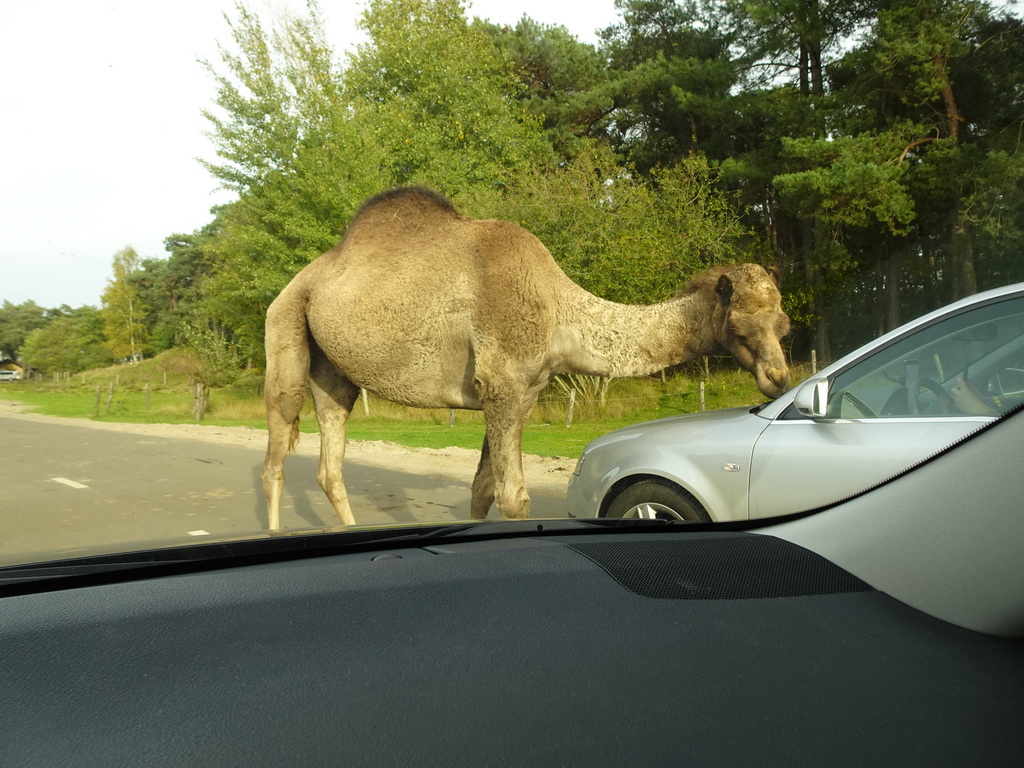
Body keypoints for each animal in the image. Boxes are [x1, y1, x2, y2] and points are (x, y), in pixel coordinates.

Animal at [260, 189, 786, 532]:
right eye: (742, 329)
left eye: (783, 326)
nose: (778, 376)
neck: (558, 309)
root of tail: (304, 278)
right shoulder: (502, 383)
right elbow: (512, 496)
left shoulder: (522, 391)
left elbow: (482, 489)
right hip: (284, 324)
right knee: (278, 440)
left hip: (333, 370)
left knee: (330, 458)